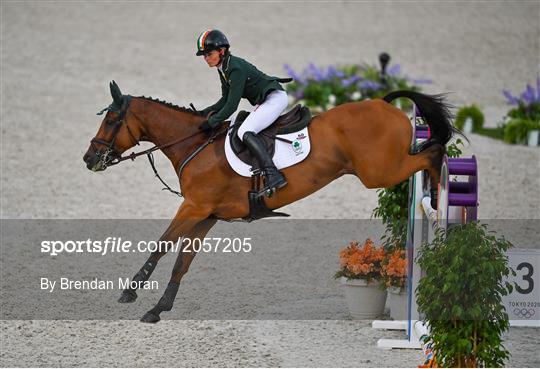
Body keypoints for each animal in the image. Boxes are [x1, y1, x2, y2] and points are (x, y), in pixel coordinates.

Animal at [83, 81, 456, 322]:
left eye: (111, 120)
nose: (89, 159)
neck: (193, 145)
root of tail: (384, 103)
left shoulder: (193, 207)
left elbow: (162, 245)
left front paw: (131, 291)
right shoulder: (206, 215)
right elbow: (181, 262)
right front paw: (157, 309)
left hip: (380, 172)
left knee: (433, 152)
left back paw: (440, 193)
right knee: (429, 151)